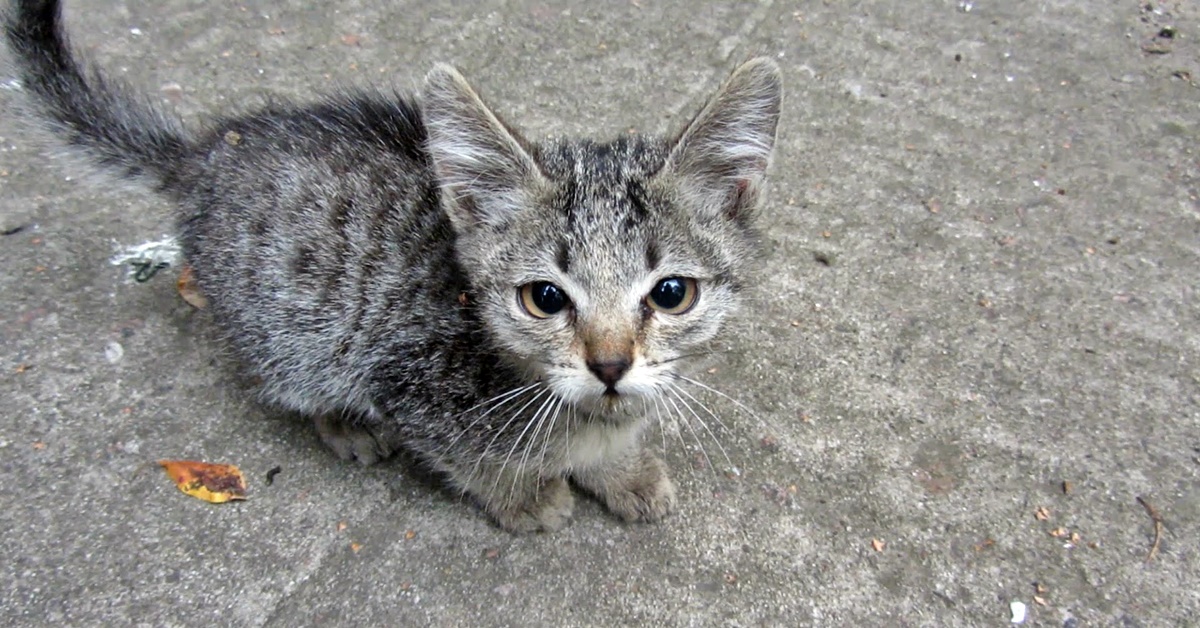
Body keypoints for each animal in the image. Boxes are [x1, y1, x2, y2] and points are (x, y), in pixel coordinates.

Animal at [2, 0, 777, 533]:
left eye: (670, 293)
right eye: (545, 298)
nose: (611, 365)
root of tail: (207, 155)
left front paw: (622, 467)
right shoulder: (404, 379)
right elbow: (475, 457)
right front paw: (527, 494)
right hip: (295, 333)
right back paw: (342, 424)